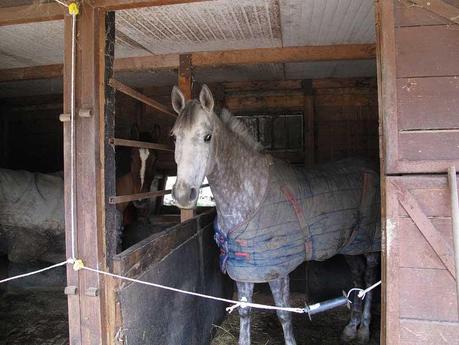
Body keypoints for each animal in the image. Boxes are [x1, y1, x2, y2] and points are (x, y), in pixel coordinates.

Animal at [171, 84, 382, 344]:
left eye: (207, 136)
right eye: (174, 136)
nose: (183, 194)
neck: (251, 196)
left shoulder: (278, 270)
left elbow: (284, 314)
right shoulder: (245, 268)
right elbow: (244, 311)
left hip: (370, 244)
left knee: (370, 277)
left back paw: (363, 329)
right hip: (349, 246)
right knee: (357, 277)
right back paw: (351, 328)